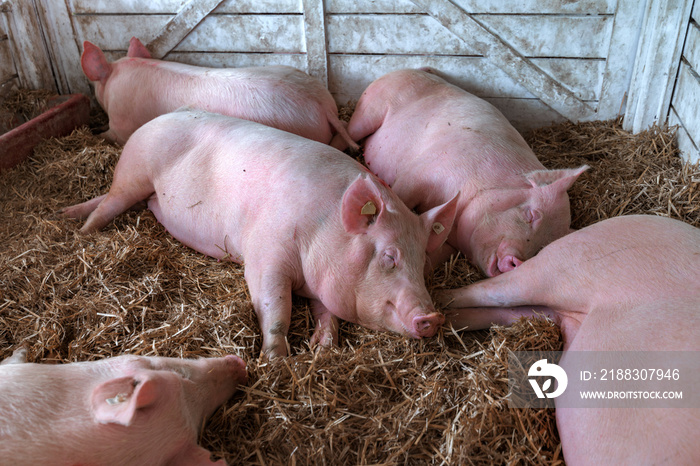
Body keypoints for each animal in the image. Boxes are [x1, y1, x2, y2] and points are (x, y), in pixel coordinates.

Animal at [58, 109, 454, 356]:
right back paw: (81, 231)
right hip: (134, 173)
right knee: (108, 204)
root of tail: (154, 120)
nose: (433, 318)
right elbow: (275, 308)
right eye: (389, 256)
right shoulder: (265, 255)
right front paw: (276, 361)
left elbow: (328, 315)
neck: (323, 228)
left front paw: (322, 348)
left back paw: (66, 214)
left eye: (423, 264)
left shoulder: (322, 284)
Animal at [348, 69, 588, 276]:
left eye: (542, 247)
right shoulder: (420, 172)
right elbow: (401, 196)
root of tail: (416, 69)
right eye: (531, 214)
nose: (518, 262)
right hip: (371, 107)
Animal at [438, 216, 700, 466]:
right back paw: (436, 307)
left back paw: (445, 318)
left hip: (550, 304)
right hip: (565, 263)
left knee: (504, 309)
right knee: (488, 290)